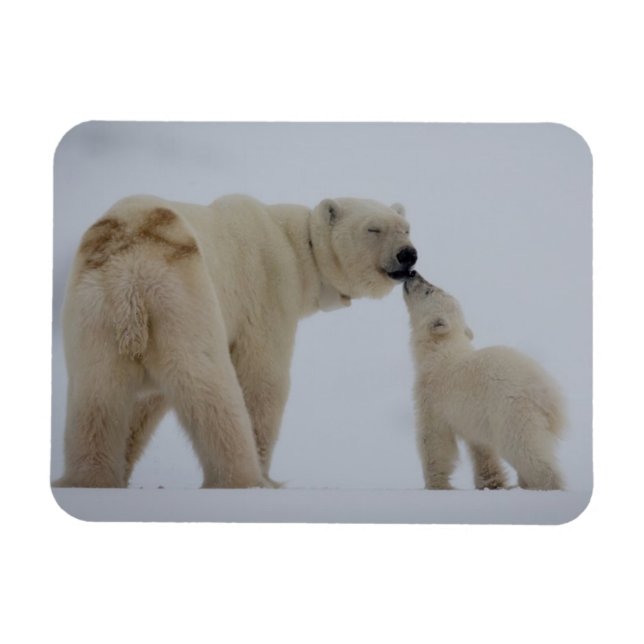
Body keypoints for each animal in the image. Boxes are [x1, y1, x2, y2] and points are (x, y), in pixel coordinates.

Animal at [56, 194, 417, 488]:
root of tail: (129, 280)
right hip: (182, 299)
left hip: (94, 311)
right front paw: (267, 475)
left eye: (406, 228)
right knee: (209, 386)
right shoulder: (268, 291)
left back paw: (87, 480)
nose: (408, 255)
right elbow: (263, 380)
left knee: (96, 396)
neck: (295, 245)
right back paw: (243, 480)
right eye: (373, 229)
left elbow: (145, 404)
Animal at [403, 272, 564, 491]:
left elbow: (435, 439)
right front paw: (491, 483)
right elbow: (481, 447)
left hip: (512, 411)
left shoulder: (432, 395)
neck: (440, 351)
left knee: (525, 450)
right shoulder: (475, 414)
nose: (413, 273)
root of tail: (547, 394)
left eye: (429, 290)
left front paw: (436, 485)